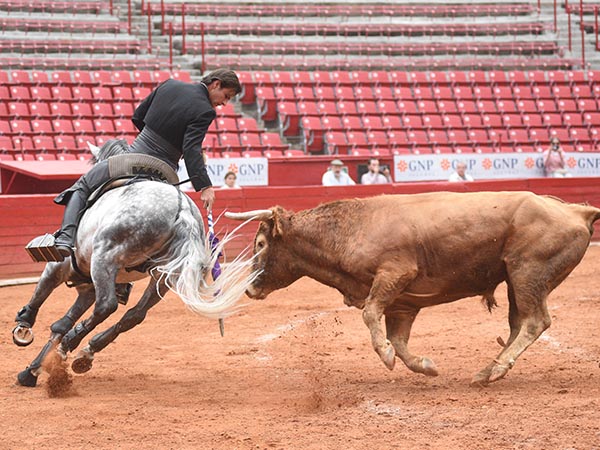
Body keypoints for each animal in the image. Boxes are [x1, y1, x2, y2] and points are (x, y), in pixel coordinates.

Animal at [11, 142, 255, 386]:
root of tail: (183, 212)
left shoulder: (60, 267)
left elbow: (42, 297)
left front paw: (23, 329)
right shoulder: (88, 287)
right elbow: (62, 323)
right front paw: (33, 369)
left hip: (105, 259)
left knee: (107, 305)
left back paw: (71, 344)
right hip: (165, 277)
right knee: (135, 314)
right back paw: (85, 352)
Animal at [226, 192, 600, 384]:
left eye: (260, 244)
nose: (249, 290)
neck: (350, 229)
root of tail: (576, 211)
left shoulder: (395, 275)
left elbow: (370, 315)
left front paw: (385, 354)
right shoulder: (402, 304)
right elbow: (401, 340)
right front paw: (424, 365)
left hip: (527, 273)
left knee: (536, 322)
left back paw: (494, 370)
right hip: (514, 282)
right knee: (519, 324)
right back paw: (486, 370)